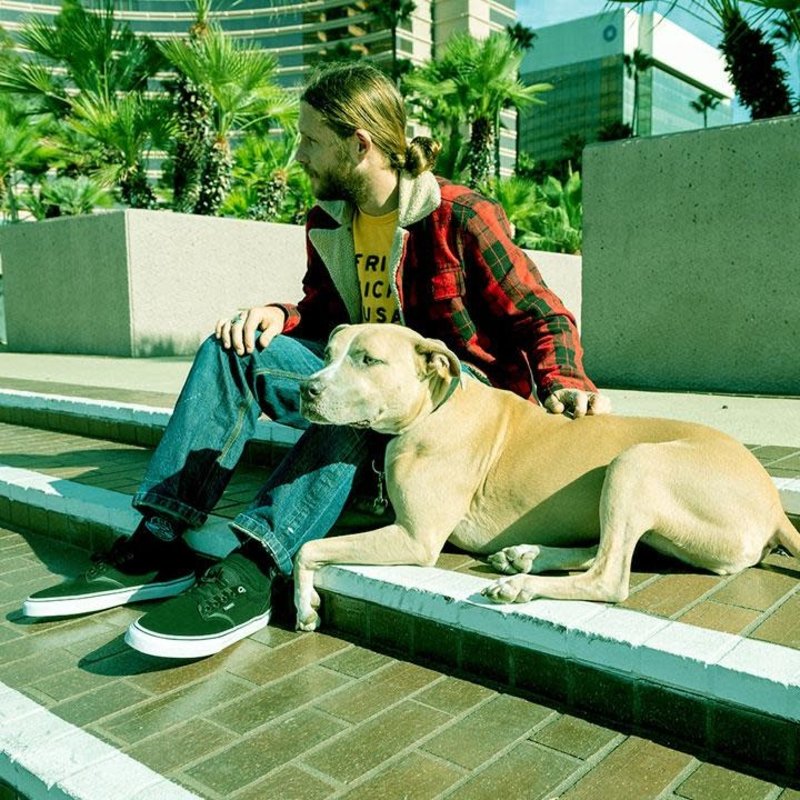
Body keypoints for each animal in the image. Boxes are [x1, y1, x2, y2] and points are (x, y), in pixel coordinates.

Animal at [296, 320, 800, 632]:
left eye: (369, 360)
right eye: (328, 354)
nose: (306, 388)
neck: (432, 409)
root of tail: (776, 508)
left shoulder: (416, 537)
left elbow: (308, 547)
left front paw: (304, 605)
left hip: (634, 462)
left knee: (609, 576)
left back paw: (521, 583)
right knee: (605, 549)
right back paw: (523, 556)